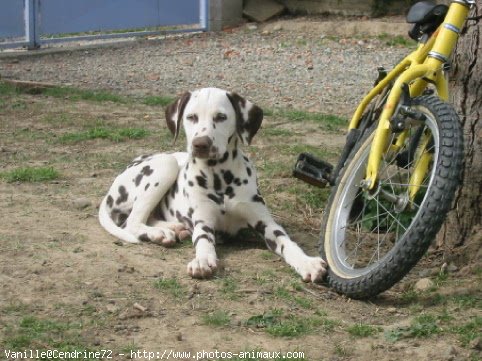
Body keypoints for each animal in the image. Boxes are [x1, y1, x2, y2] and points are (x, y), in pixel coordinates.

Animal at [97, 87, 326, 282]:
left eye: (221, 117)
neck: (220, 177)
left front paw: (307, 263)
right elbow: (203, 241)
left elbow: (287, 242)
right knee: (132, 222)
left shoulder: (266, 223)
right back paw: (160, 233)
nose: (200, 144)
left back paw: (172, 228)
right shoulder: (203, 222)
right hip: (166, 164)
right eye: (191, 117)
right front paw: (202, 260)